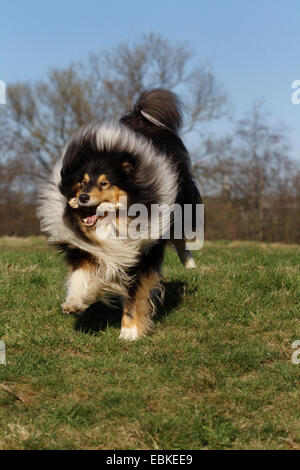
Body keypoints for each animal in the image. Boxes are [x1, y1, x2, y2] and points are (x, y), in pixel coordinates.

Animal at [37, 89, 202, 338]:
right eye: (82, 182)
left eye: (104, 183)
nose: (82, 197)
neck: (113, 221)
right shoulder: (89, 247)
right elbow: (80, 273)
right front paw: (75, 301)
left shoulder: (142, 252)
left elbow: (135, 294)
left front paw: (129, 333)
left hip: (181, 201)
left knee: (179, 234)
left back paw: (189, 262)